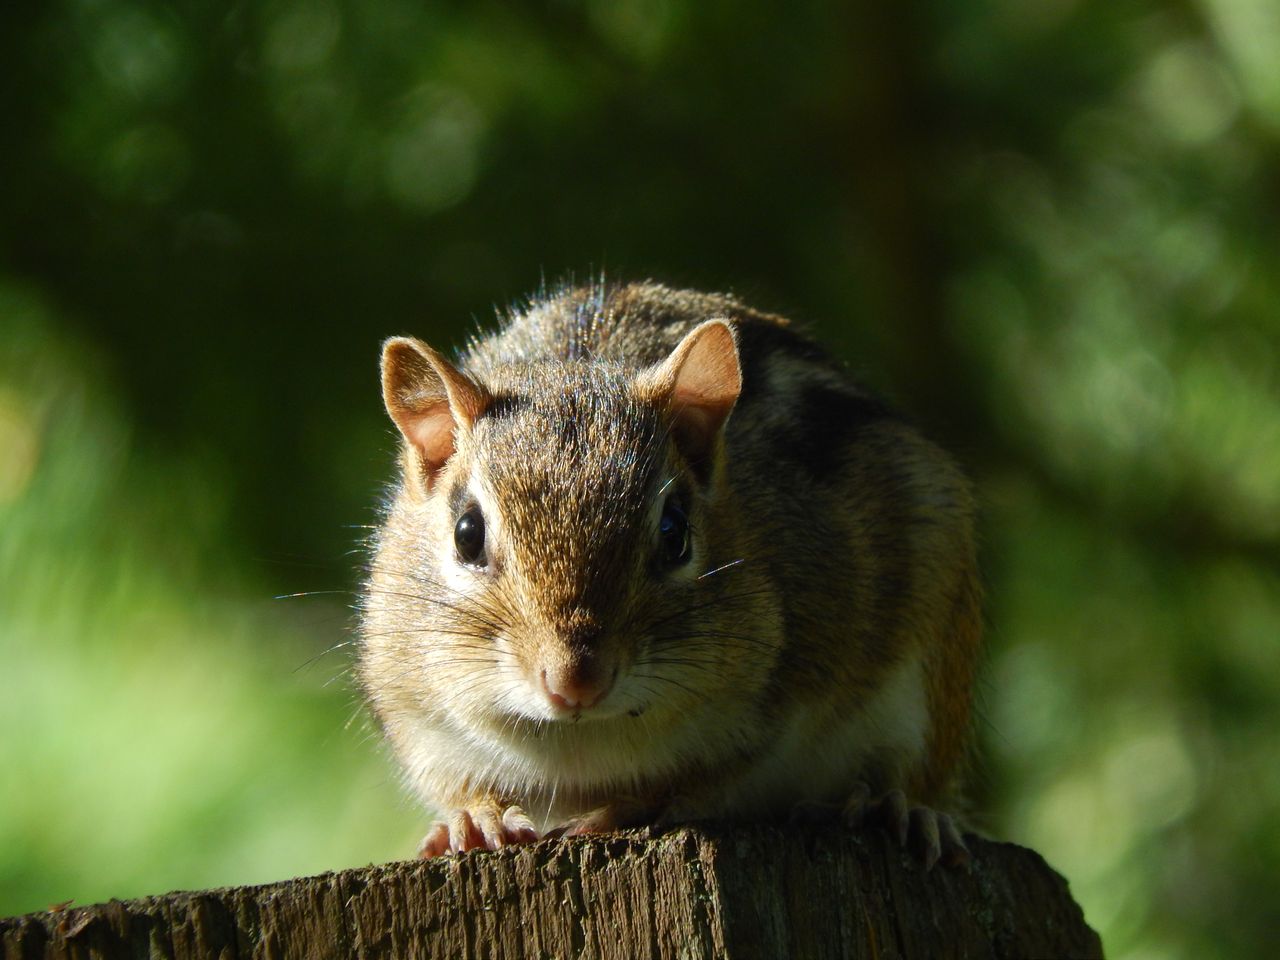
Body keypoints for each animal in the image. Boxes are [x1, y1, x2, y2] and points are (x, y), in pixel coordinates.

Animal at [359, 281, 982, 869]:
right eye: (467, 532)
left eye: (674, 533)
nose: (575, 681)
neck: (579, 742)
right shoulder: (416, 718)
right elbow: (452, 783)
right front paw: (473, 819)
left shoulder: (779, 700)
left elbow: (706, 778)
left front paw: (622, 808)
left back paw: (904, 810)